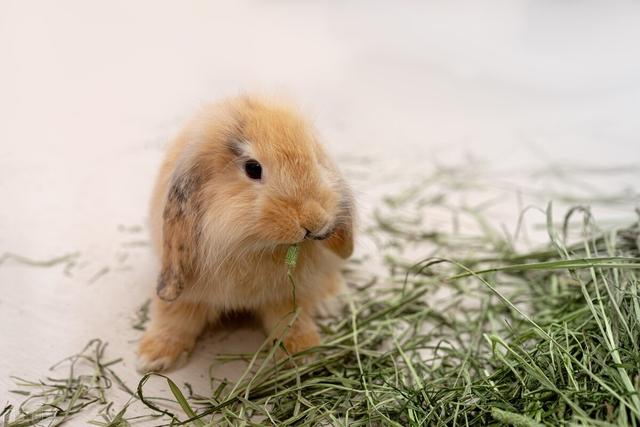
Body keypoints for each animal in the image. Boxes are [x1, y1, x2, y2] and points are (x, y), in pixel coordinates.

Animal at [137, 95, 355, 372]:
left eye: (316, 159)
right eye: (253, 168)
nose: (313, 220)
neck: (251, 246)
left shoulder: (286, 295)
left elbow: (292, 321)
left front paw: (303, 354)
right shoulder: (187, 292)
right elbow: (173, 317)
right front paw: (152, 358)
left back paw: (332, 299)